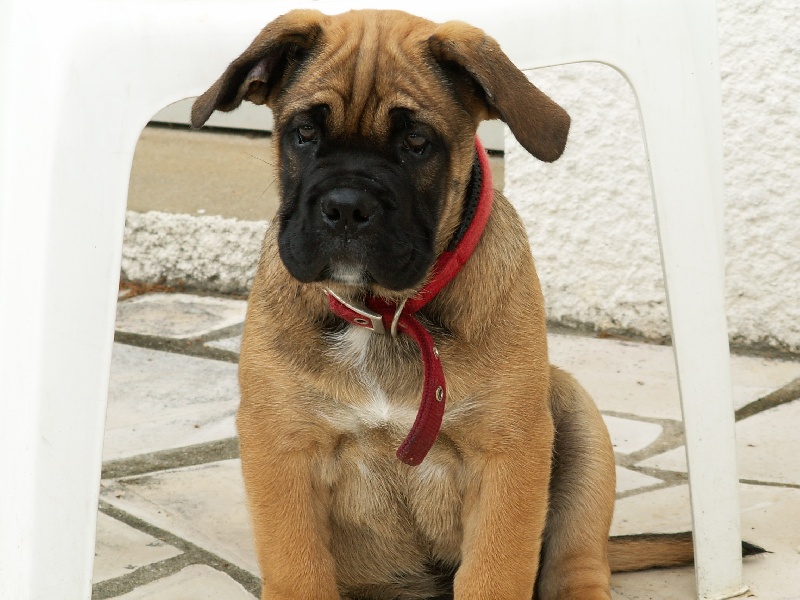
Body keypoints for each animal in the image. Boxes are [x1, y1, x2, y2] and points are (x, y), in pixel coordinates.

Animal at [191, 9, 761, 599]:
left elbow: (495, 572)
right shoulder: (283, 452)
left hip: (577, 421)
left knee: (576, 561)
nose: (346, 207)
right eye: (303, 134)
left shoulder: (507, 455)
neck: (387, 314)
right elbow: (298, 570)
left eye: (417, 142)